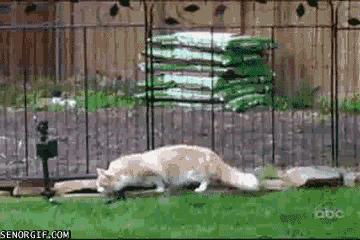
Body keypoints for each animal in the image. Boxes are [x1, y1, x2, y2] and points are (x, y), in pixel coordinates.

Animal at [95, 144, 258, 201]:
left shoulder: (154, 174)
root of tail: (214, 155)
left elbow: (159, 183)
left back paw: (200, 188)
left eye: (101, 185)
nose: (97, 190)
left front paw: (159, 190)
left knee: (207, 179)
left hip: (195, 173)